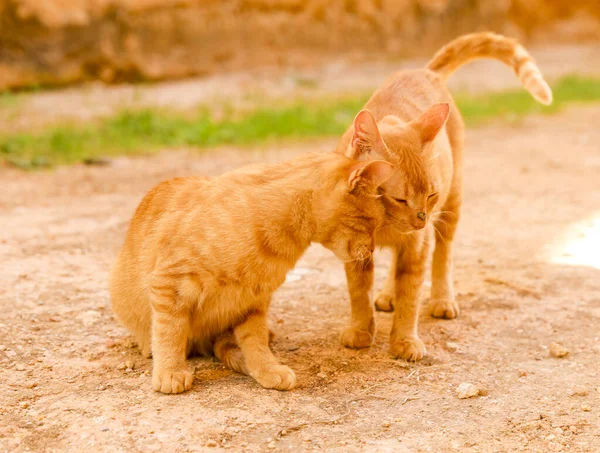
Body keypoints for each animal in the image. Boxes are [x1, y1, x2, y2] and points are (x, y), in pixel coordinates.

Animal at [111, 148, 394, 392]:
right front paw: (170, 371)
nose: (372, 249)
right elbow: (170, 331)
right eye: (371, 222)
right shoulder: (171, 283)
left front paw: (267, 368)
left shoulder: (252, 301)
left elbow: (254, 342)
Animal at [336, 30, 552, 360]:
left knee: (443, 255)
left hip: (453, 206)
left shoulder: (418, 245)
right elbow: (359, 293)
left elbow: (411, 293)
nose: (421, 220)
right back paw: (387, 294)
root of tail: (424, 71)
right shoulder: (356, 250)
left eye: (431, 195)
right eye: (399, 199)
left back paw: (442, 299)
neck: (382, 226)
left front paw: (405, 341)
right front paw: (361, 330)